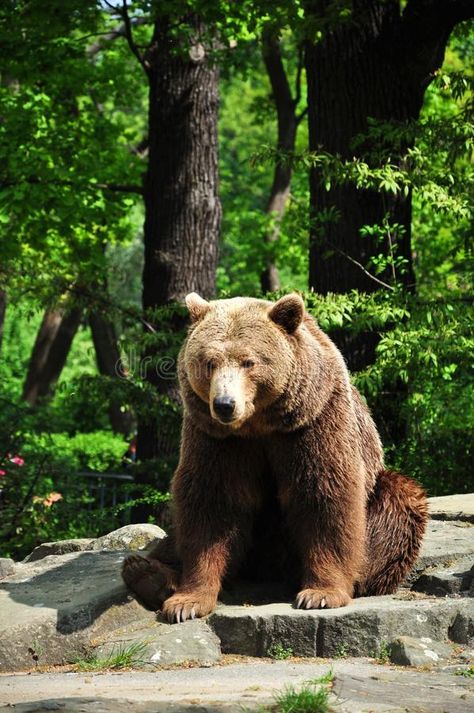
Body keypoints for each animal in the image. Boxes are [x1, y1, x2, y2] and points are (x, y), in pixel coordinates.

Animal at [123, 292, 430, 620]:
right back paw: (147, 572)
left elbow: (325, 496)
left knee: (397, 502)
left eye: (249, 361)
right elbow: (210, 504)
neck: (258, 423)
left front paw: (321, 593)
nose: (224, 404)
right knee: (170, 540)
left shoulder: (312, 423)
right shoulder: (217, 440)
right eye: (209, 362)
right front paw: (187, 601)